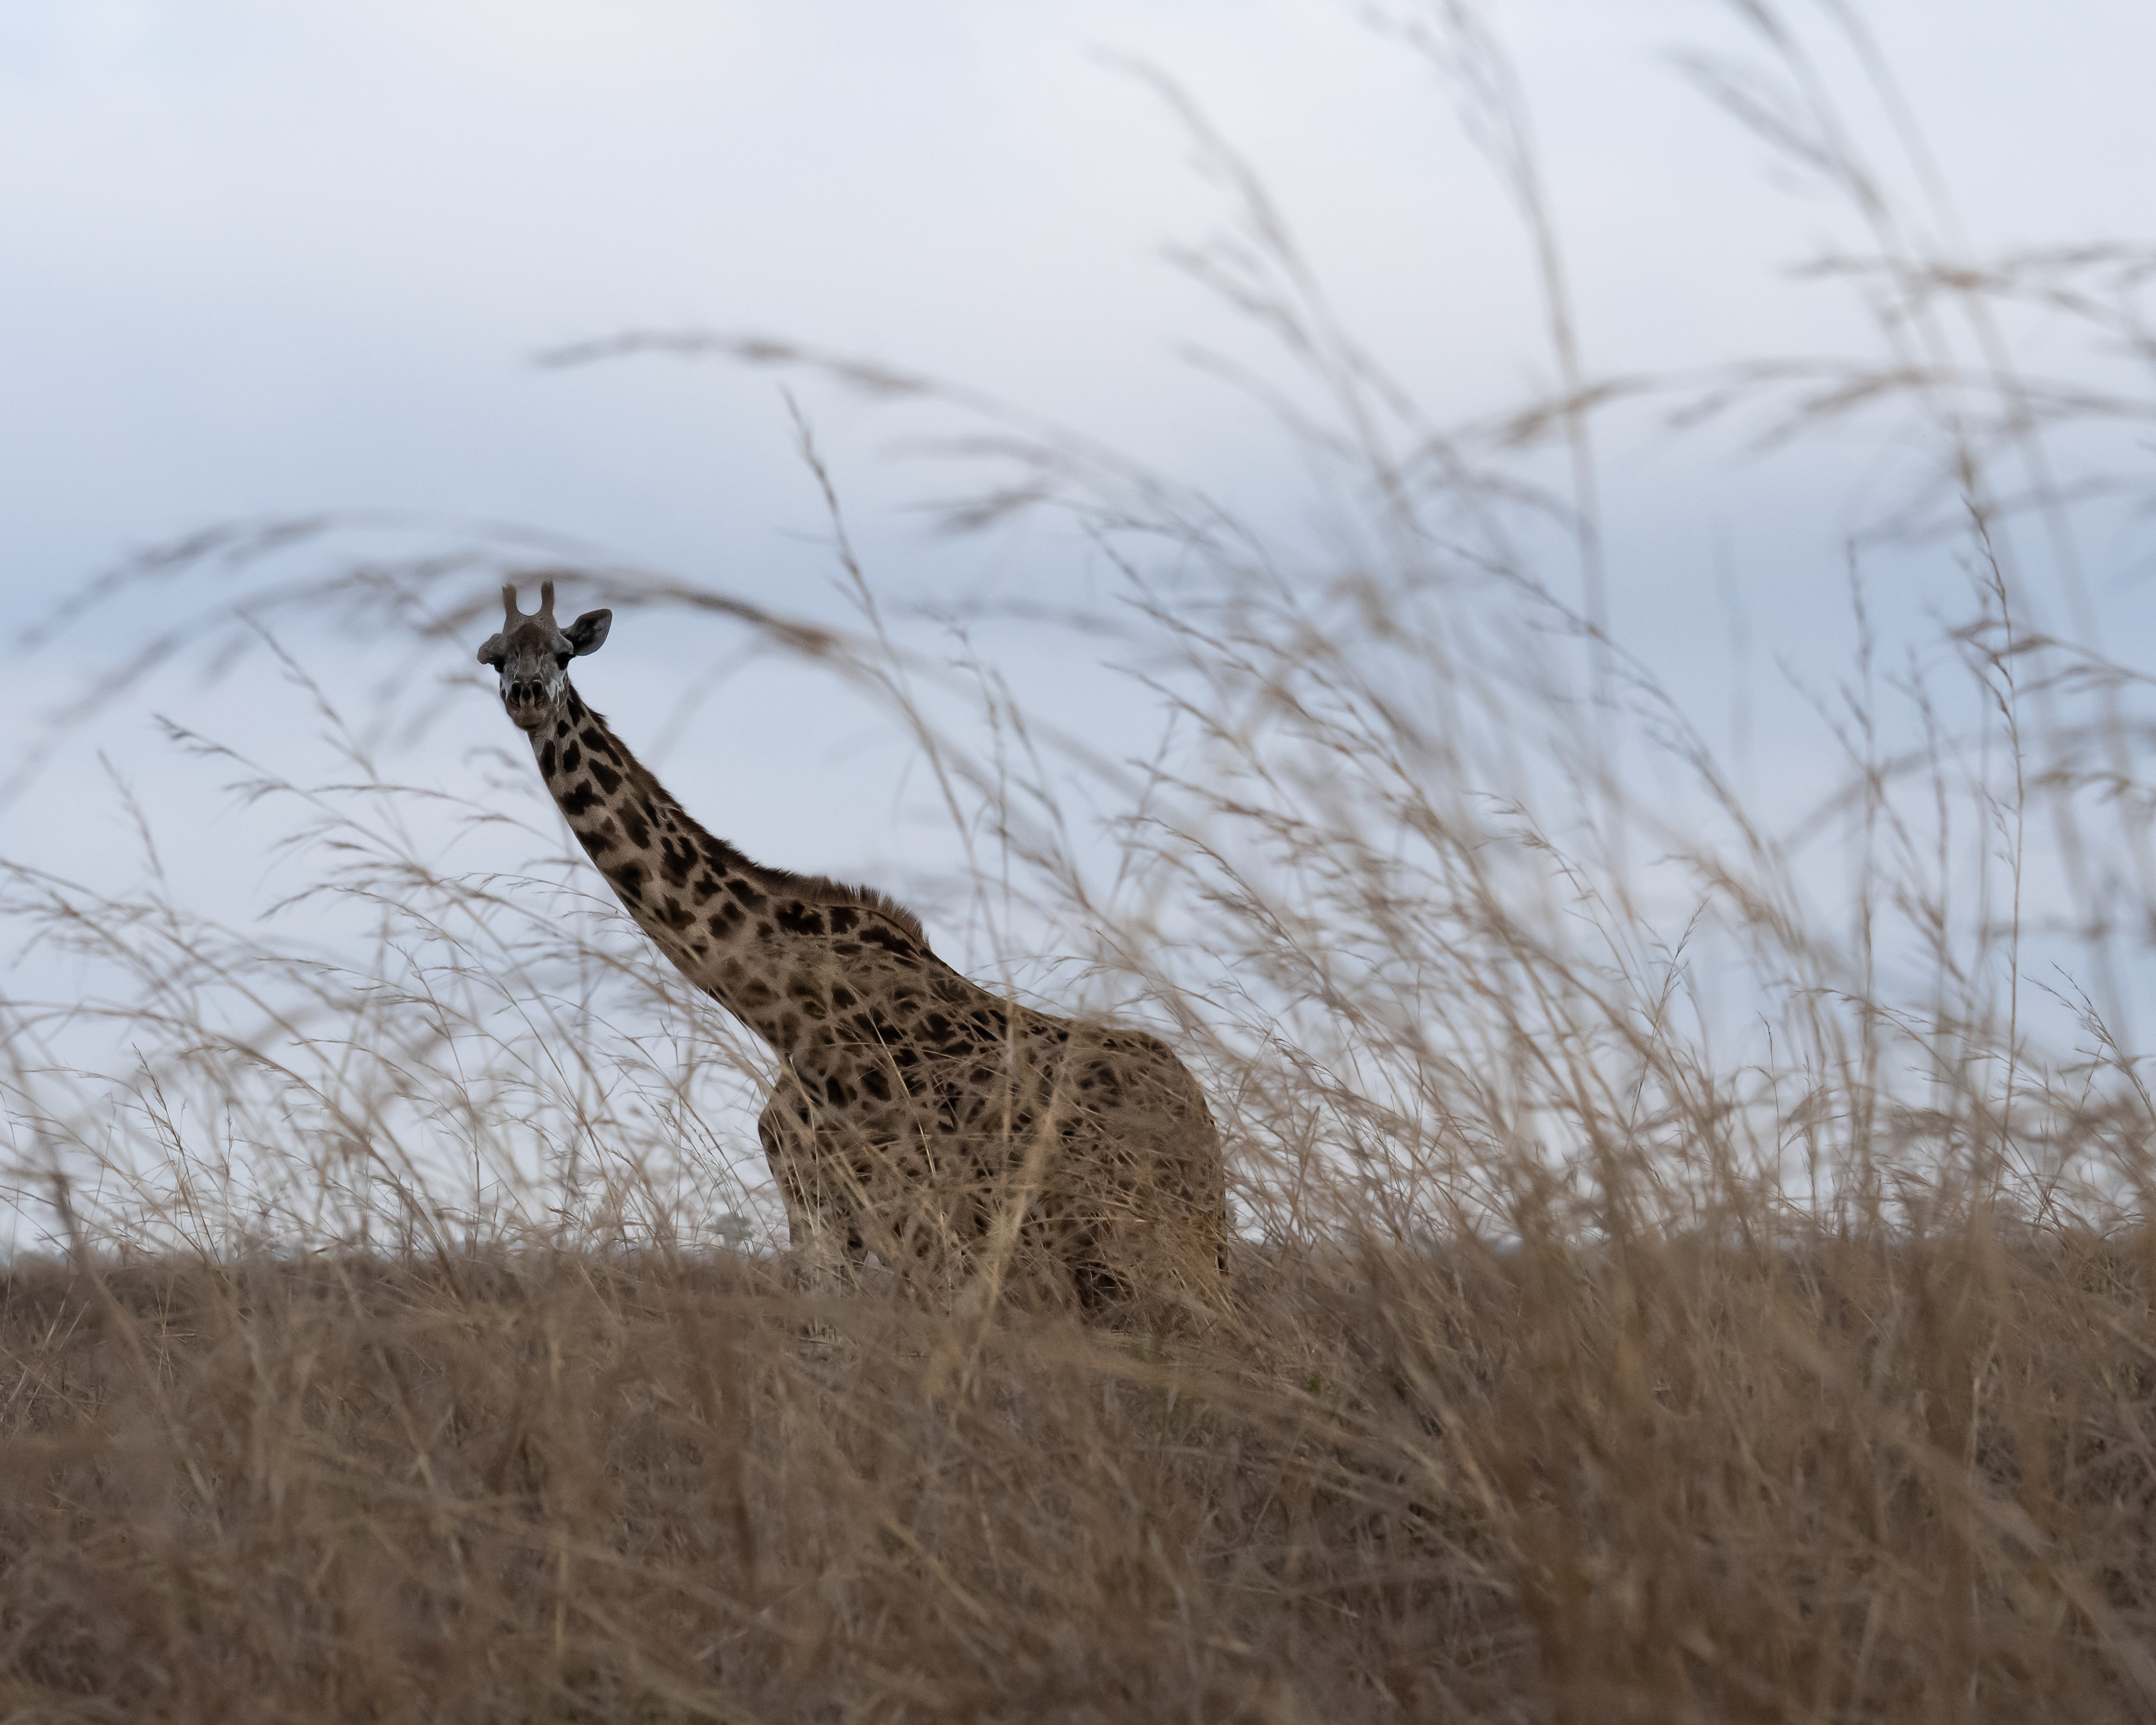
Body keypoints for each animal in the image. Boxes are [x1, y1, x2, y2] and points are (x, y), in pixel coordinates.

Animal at [477, 581, 1228, 1316]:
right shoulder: (817, 1209)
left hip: (1141, 1243)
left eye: (565, 653)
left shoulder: (925, 1226)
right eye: (494, 658)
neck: (781, 1012)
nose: (527, 696)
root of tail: (1202, 1119)